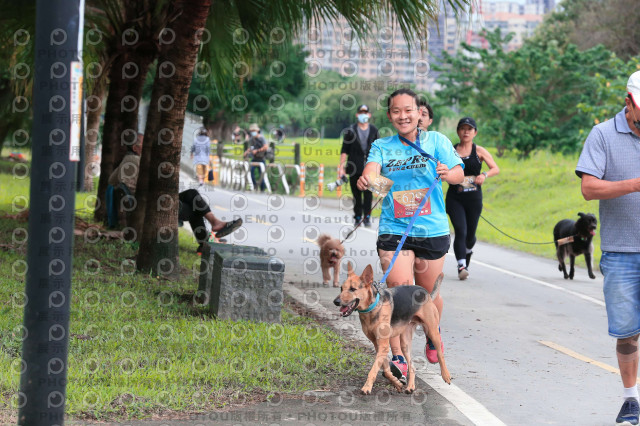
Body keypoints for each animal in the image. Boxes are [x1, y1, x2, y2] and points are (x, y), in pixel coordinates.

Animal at [333, 263, 450, 394]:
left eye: (353, 289)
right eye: (341, 288)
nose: (336, 301)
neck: (372, 307)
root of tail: (426, 293)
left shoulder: (383, 345)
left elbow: (373, 370)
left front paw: (367, 387)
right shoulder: (378, 345)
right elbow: (385, 370)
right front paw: (396, 383)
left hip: (432, 331)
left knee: (440, 354)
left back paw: (446, 375)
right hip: (405, 342)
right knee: (412, 366)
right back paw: (410, 386)